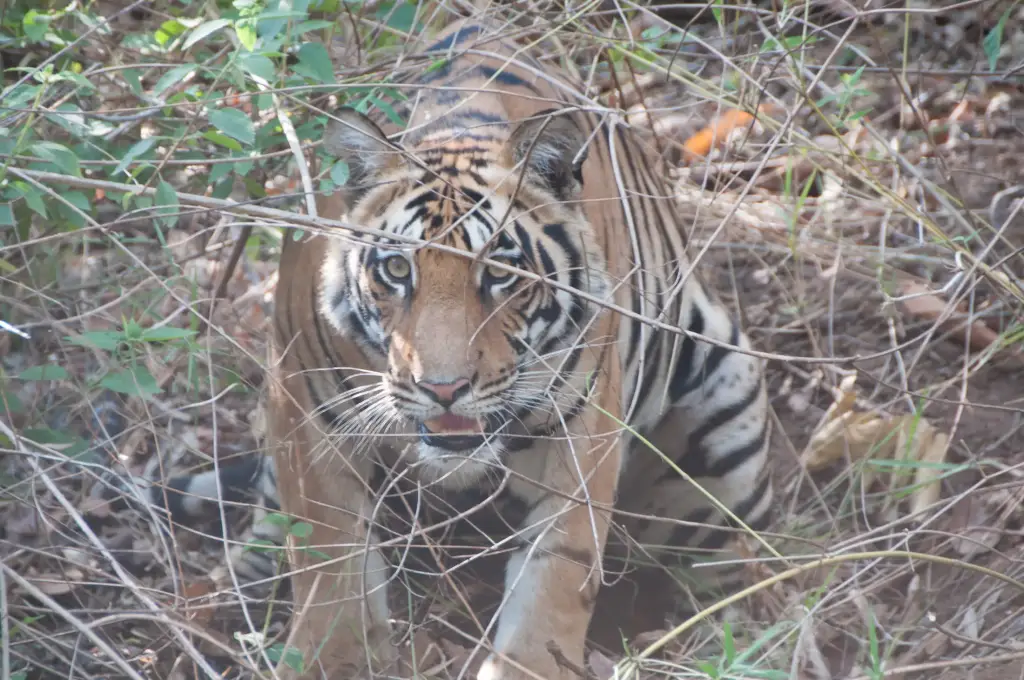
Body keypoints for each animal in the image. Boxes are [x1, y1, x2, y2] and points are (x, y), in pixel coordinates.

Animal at [106, 16, 774, 680]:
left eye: (500, 273)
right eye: (398, 270)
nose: (444, 389)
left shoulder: (581, 428)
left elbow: (555, 578)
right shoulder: (306, 410)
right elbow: (329, 564)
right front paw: (332, 657)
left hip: (729, 424)